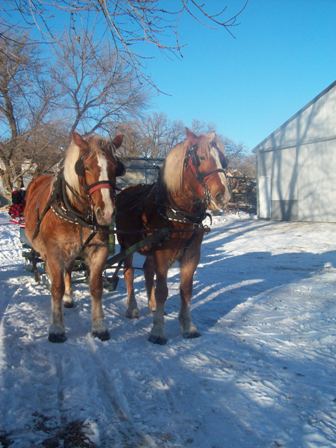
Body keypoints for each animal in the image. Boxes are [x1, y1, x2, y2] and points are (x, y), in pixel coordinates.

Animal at [24, 131, 124, 342]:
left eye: (115, 167)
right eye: (85, 167)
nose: (107, 213)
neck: (77, 214)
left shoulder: (98, 250)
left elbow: (96, 287)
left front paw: (99, 326)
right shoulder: (54, 251)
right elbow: (57, 287)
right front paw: (56, 328)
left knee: (68, 270)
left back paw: (69, 298)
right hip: (45, 250)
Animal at [115, 128, 231, 344]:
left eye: (223, 159)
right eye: (200, 157)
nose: (223, 195)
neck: (177, 213)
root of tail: (124, 192)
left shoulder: (191, 254)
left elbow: (186, 290)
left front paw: (188, 326)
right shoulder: (163, 254)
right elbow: (163, 290)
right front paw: (158, 330)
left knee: (147, 270)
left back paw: (152, 306)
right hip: (127, 245)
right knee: (129, 273)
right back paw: (132, 308)